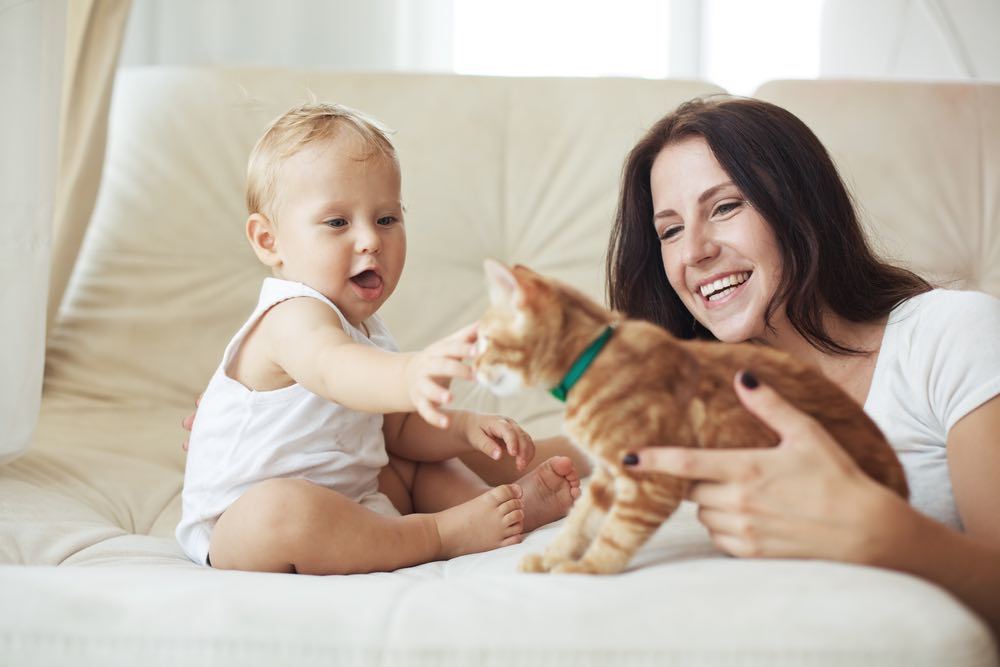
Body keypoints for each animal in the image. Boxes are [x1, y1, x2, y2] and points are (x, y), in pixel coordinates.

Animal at [472, 260, 912, 576]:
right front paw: (552, 556)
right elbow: (579, 522)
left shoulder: (649, 476)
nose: (472, 366)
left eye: (483, 341)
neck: (592, 359)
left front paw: (589, 568)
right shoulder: (606, 477)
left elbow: (615, 533)